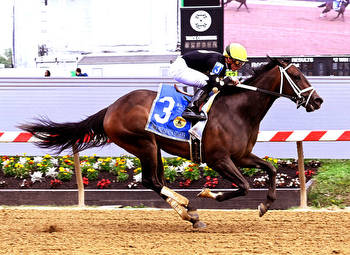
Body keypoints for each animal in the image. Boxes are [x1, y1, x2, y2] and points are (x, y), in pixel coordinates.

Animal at [19, 57, 322, 229]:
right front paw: (209, 194)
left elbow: (270, 170)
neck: (239, 110)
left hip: (154, 148)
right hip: (143, 144)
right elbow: (244, 186)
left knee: (157, 181)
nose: (318, 100)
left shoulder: (242, 156)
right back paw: (189, 209)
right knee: (150, 180)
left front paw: (266, 204)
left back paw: (188, 213)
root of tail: (111, 108)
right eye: (297, 76)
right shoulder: (218, 159)